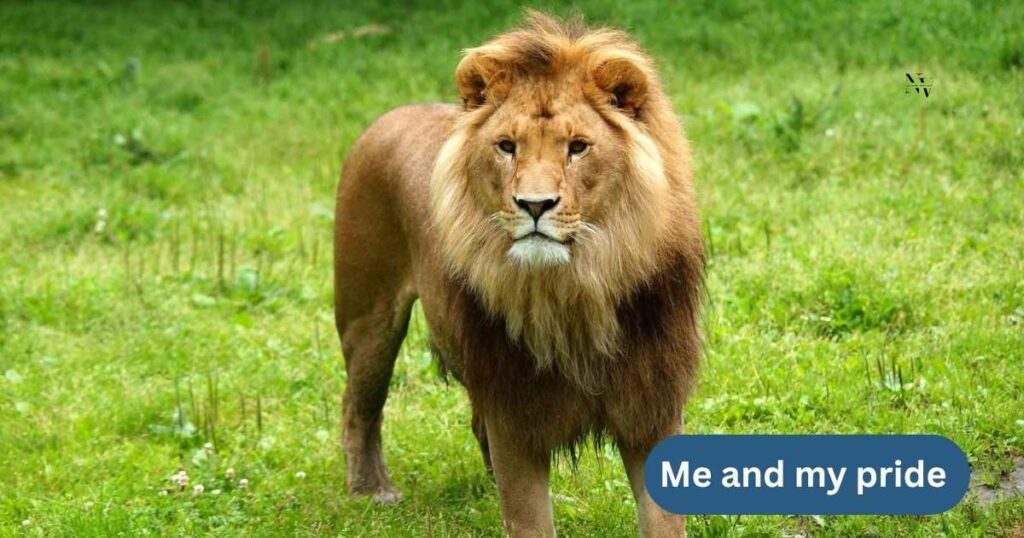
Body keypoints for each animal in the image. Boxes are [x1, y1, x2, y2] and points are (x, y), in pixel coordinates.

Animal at [334, 12, 704, 537]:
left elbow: (663, 521)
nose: (534, 204)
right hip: (369, 317)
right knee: (358, 404)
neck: (575, 289)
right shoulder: (513, 408)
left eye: (578, 148)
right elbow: (529, 519)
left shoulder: (651, 398)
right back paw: (371, 491)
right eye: (507, 147)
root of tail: (393, 114)